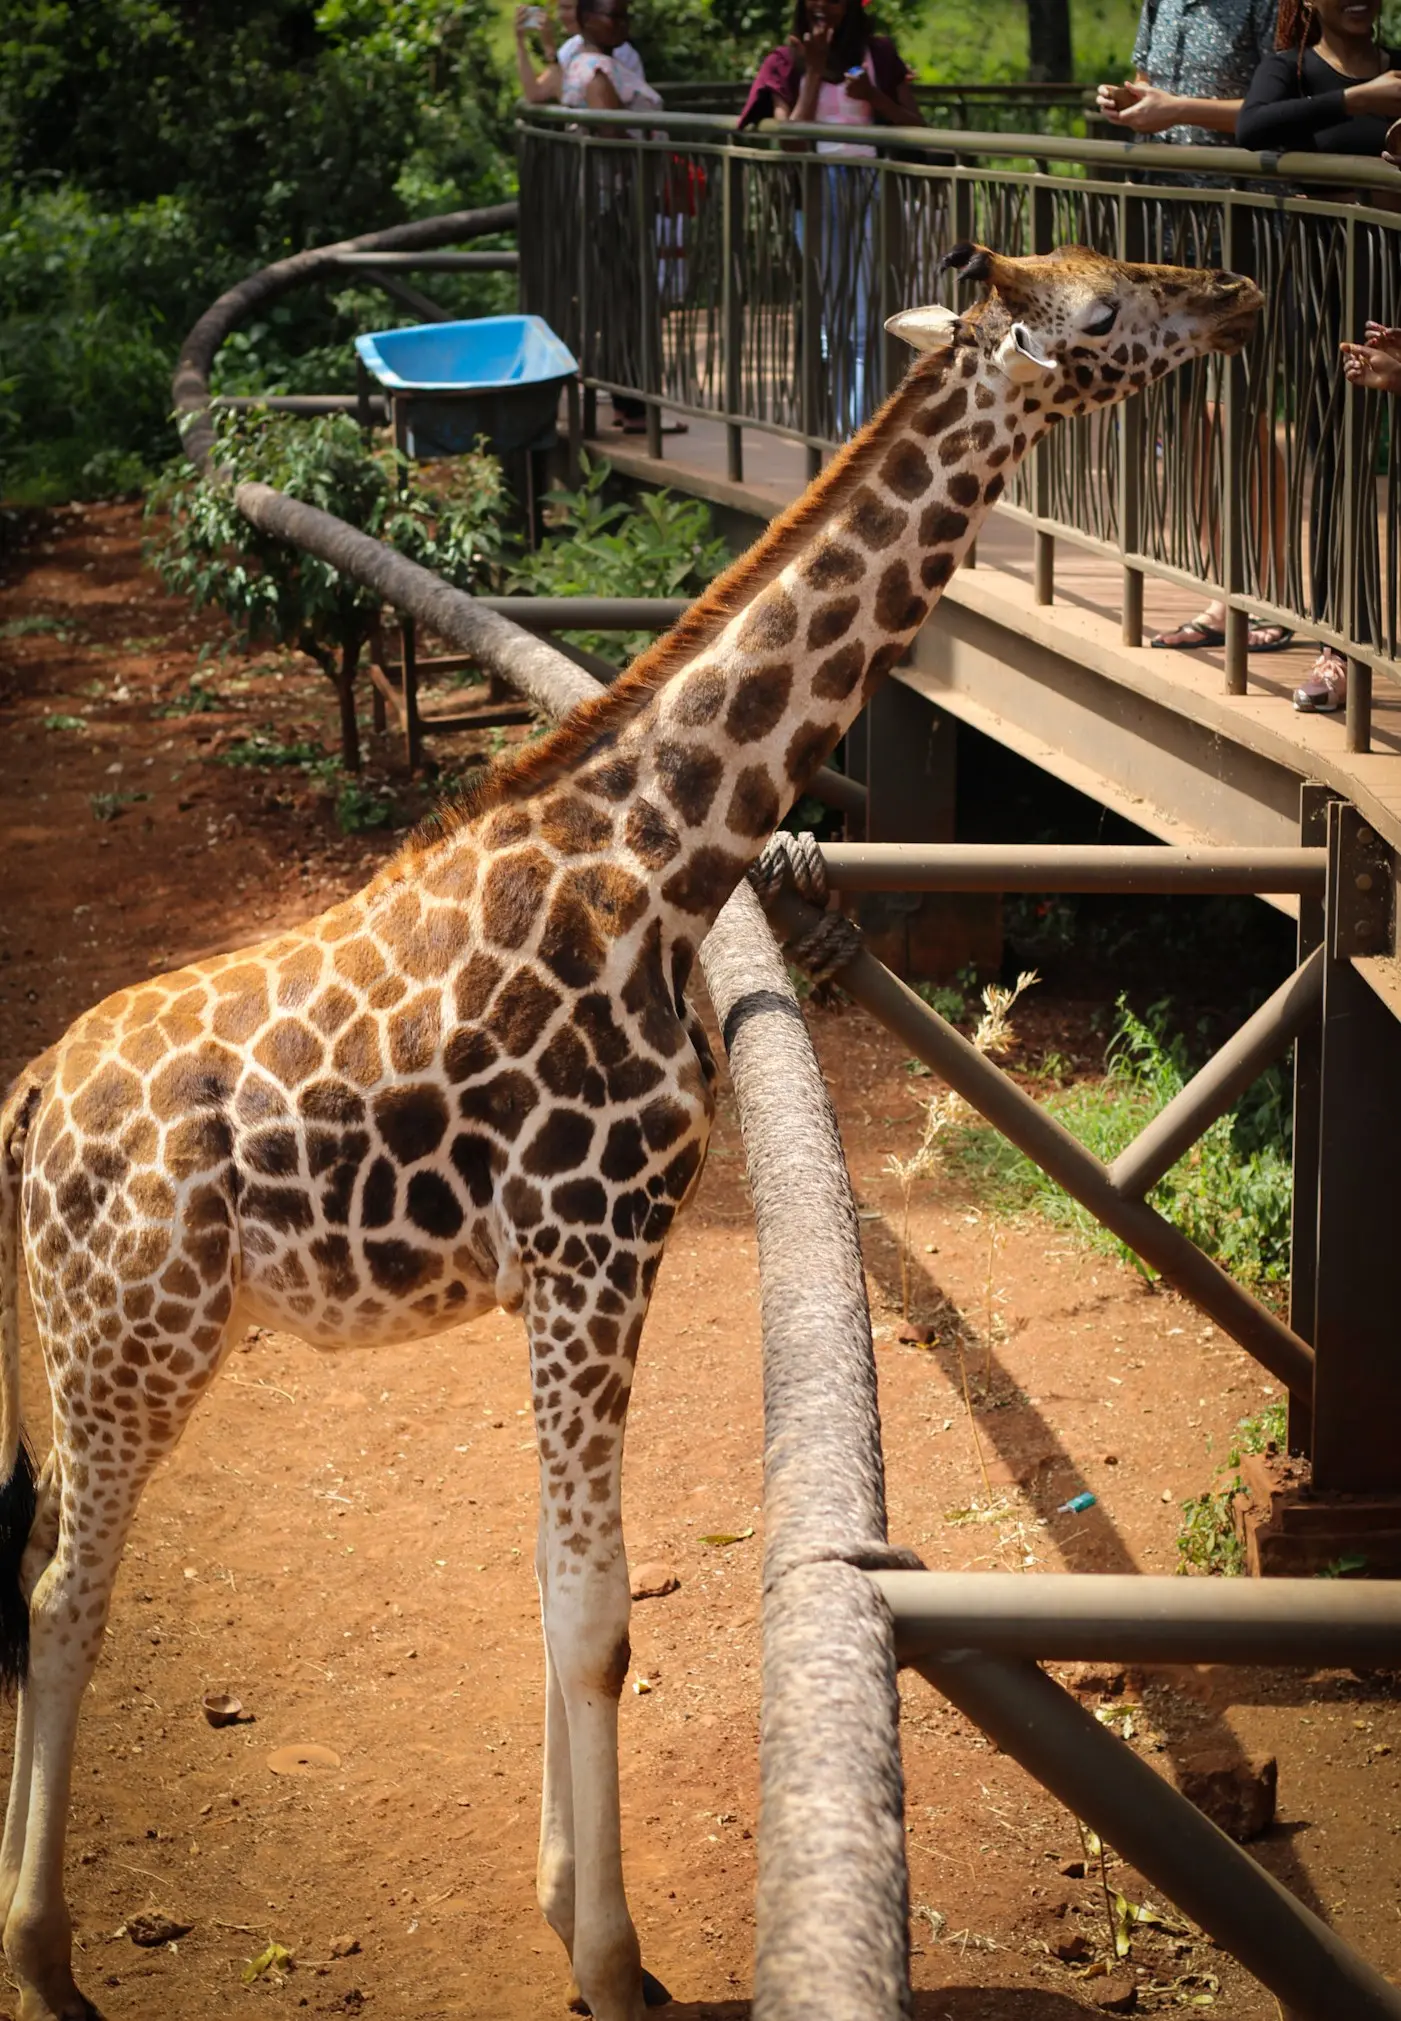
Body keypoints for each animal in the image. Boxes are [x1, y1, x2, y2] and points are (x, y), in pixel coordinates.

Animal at [0, 243, 1260, 2021]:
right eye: (1094, 318)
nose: (1230, 296)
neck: (664, 856)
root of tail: (36, 1098)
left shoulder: (575, 1267)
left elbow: (553, 1589)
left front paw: (563, 1908)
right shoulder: (592, 1243)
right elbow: (598, 1616)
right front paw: (612, 1959)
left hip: (136, 1337)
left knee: (46, 1567)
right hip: (131, 1335)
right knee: (66, 1587)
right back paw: (43, 1955)